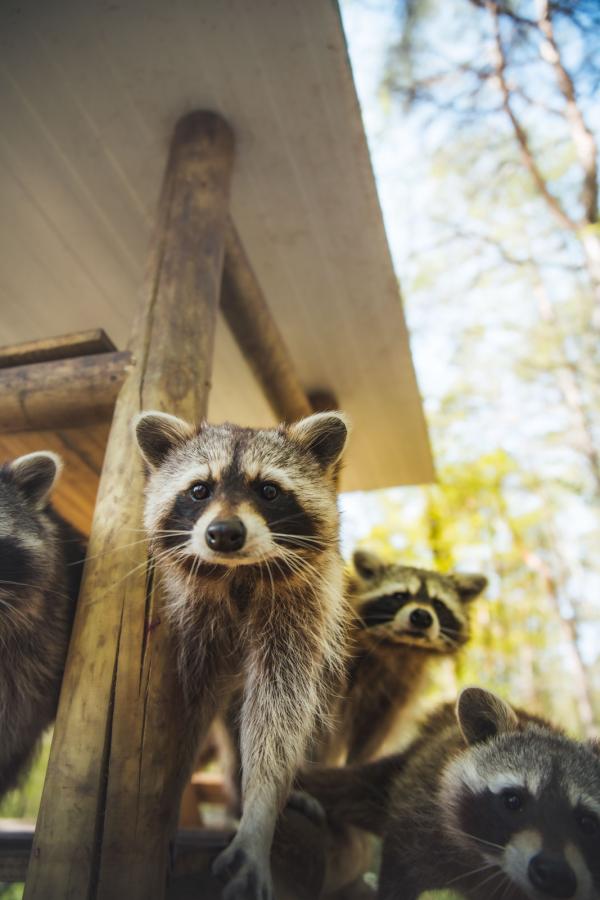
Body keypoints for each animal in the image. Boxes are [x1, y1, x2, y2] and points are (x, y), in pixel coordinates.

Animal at [135, 412, 352, 900]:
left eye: (268, 490)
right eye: (200, 489)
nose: (224, 534)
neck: (237, 574)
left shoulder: (302, 609)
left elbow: (279, 711)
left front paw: (259, 813)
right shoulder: (188, 622)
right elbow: (186, 715)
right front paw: (172, 799)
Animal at [316, 552, 486, 764]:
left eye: (438, 604)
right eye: (400, 596)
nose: (421, 616)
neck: (400, 648)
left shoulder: (399, 687)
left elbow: (374, 733)